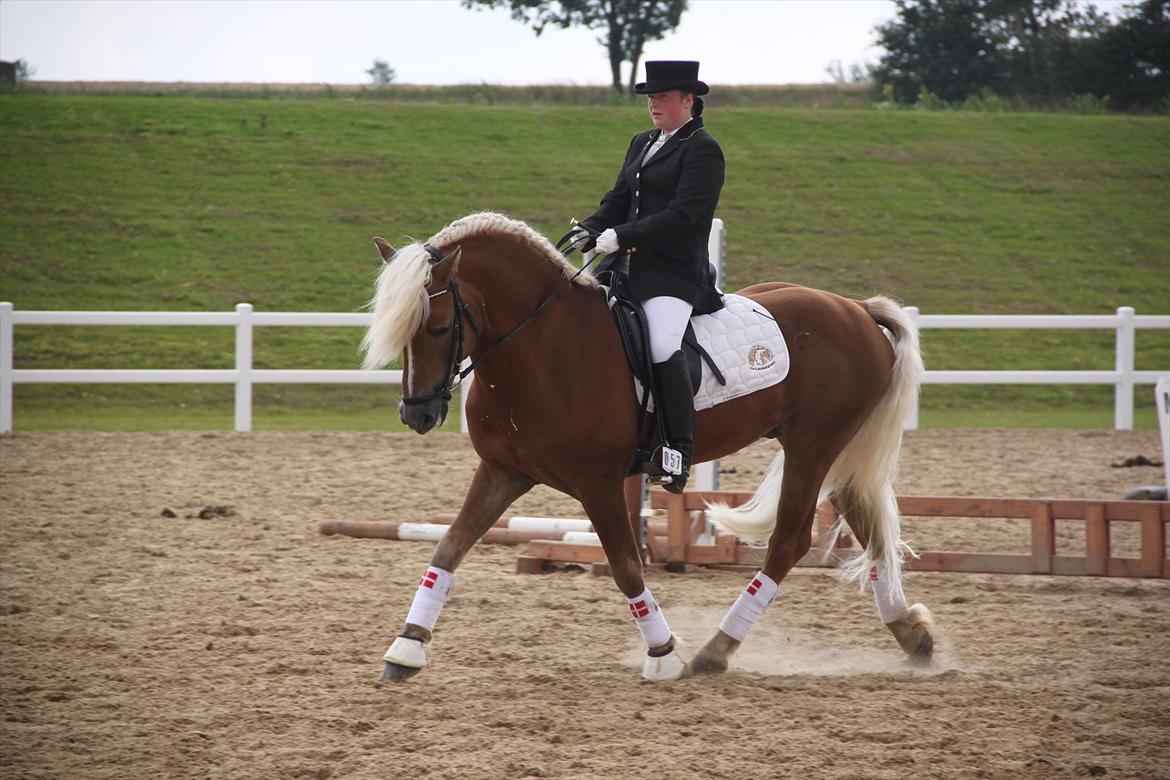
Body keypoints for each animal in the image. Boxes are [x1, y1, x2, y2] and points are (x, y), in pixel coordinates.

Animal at [360, 214, 935, 682]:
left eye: (438, 327)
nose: (417, 415)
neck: (545, 347)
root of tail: (857, 309)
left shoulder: (598, 482)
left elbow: (625, 565)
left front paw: (663, 655)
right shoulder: (503, 470)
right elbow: (449, 546)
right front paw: (405, 649)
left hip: (812, 447)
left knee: (789, 543)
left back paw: (714, 651)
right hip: (831, 451)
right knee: (868, 525)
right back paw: (913, 636)